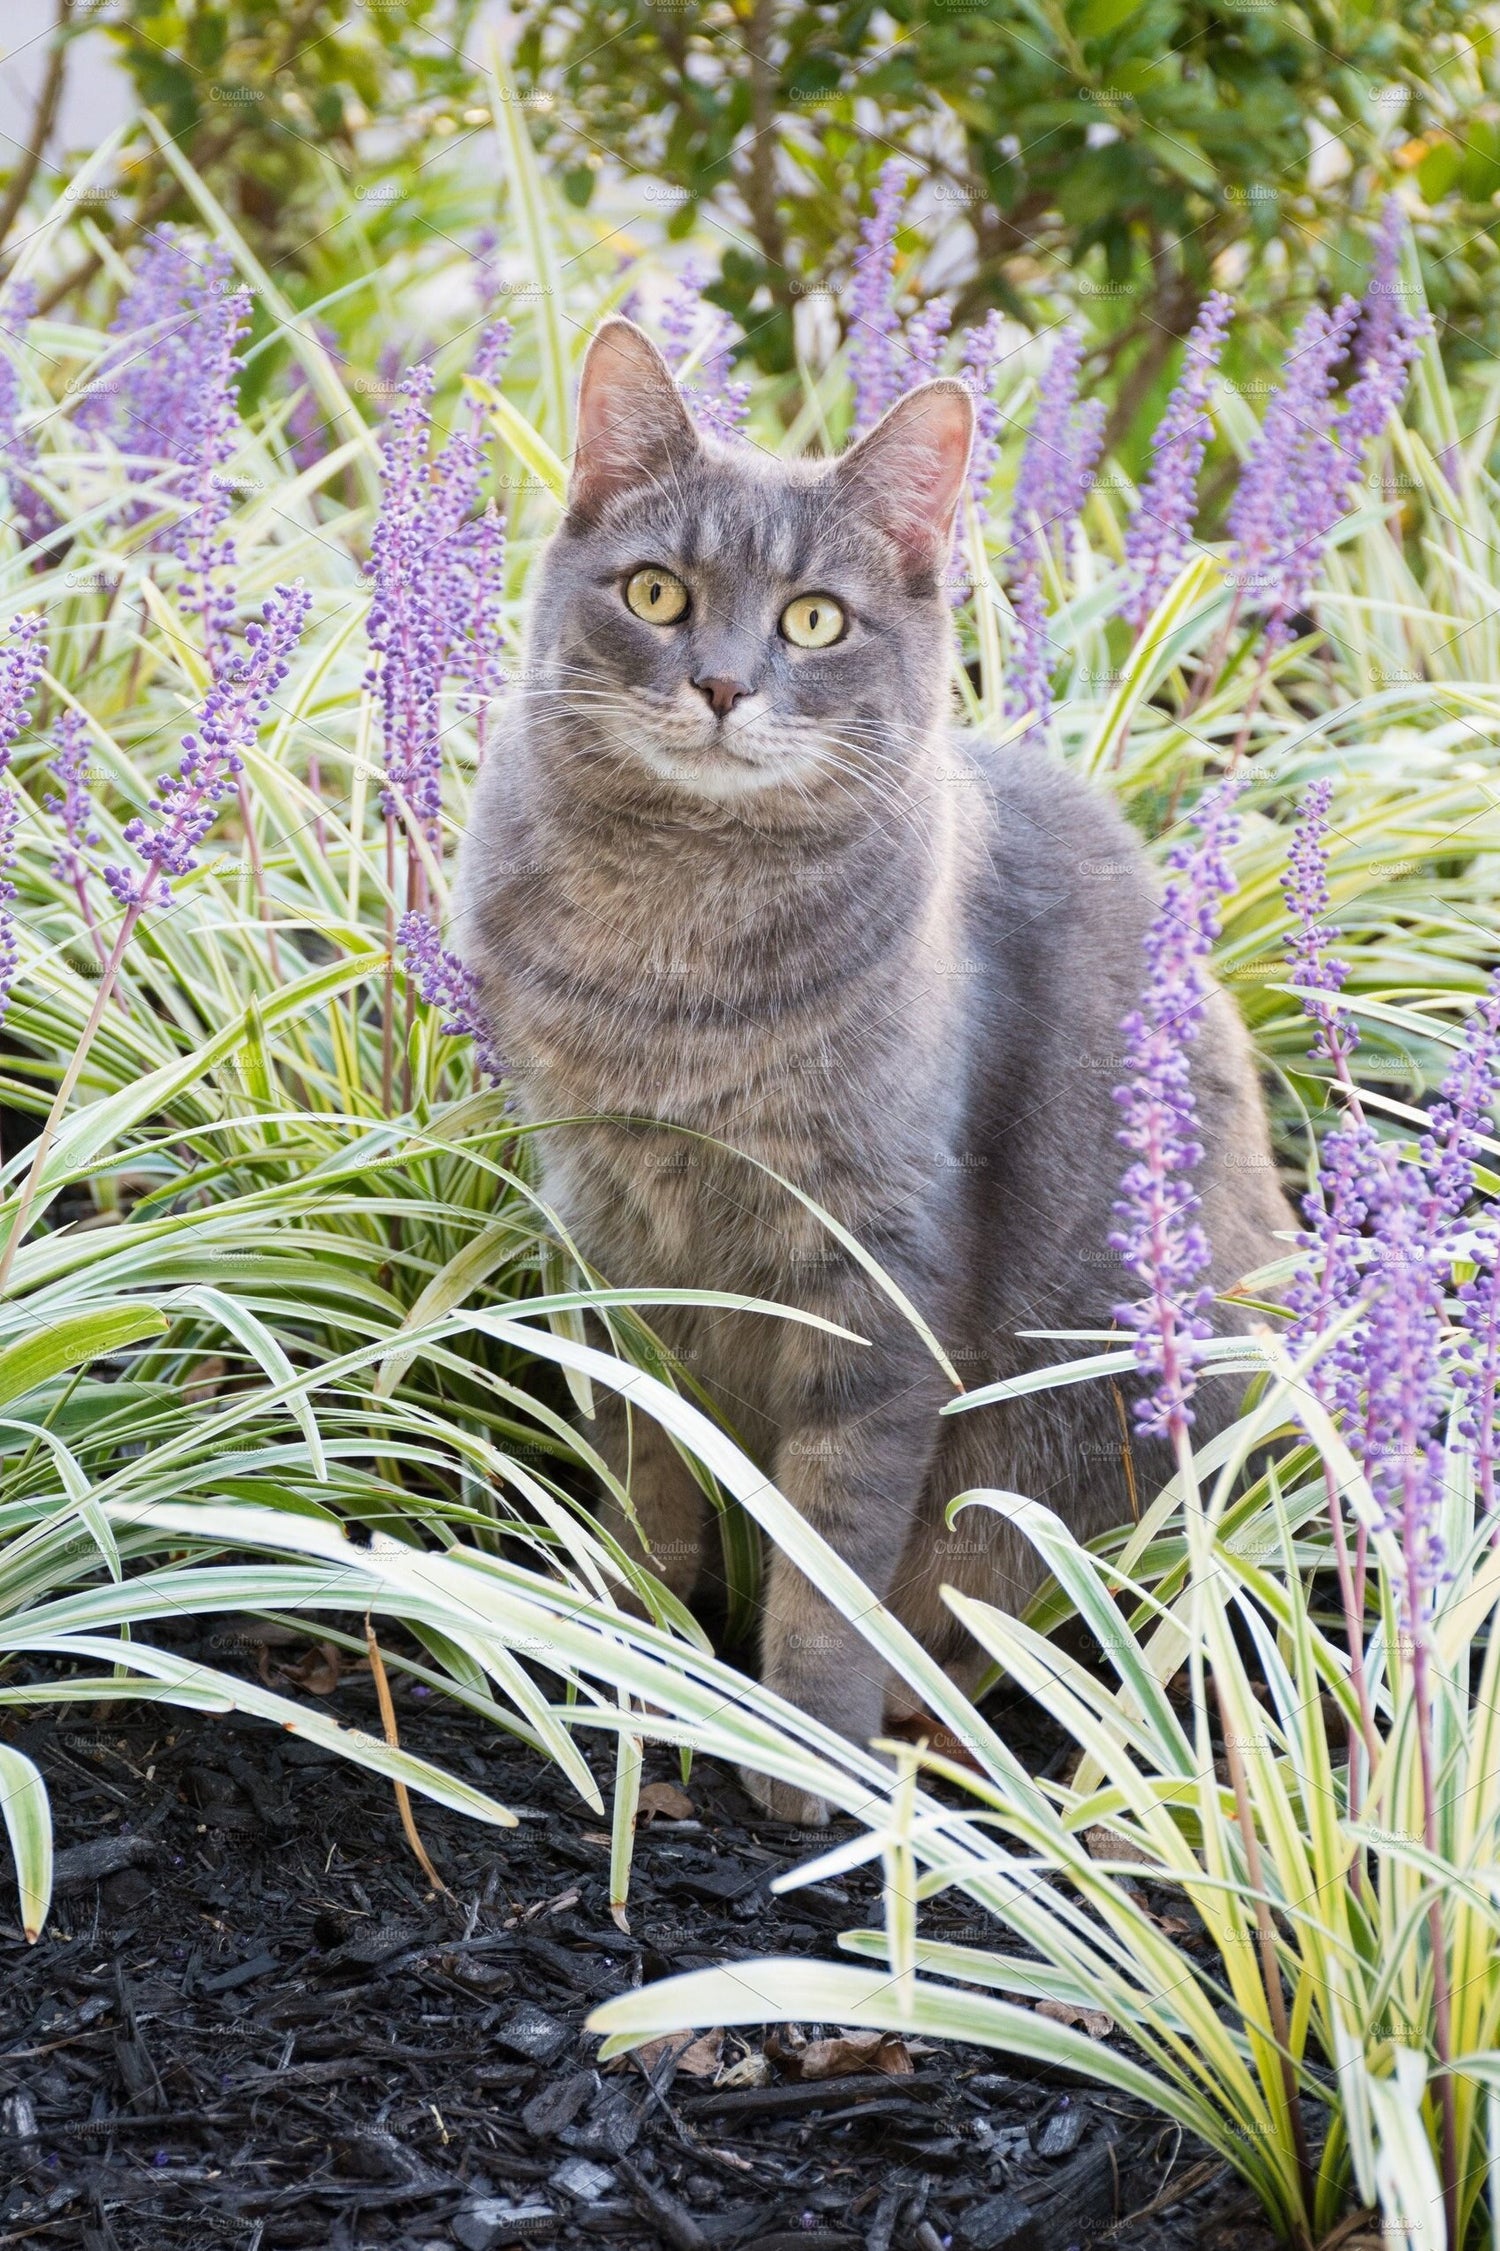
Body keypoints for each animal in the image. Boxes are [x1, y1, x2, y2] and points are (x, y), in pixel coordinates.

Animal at [454, 317, 1288, 1818]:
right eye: (656, 592)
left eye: (814, 620)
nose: (722, 684)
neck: (675, 947)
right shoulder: (604, 1213)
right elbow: (644, 1448)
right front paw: (635, 1627)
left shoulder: (880, 1260)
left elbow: (832, 1535)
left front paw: (805, 1741)